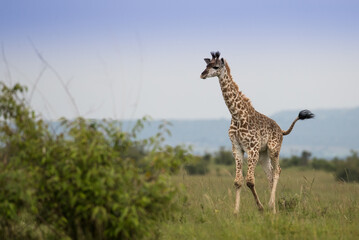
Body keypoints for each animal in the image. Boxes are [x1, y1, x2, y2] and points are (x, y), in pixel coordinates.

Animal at [201, 51, 314, 213]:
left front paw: (260, 207)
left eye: (215, 66)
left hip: (273, 150)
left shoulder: (252, 148)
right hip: (263, 155)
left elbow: (249, 181)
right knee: (270, 175)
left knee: (277, 171)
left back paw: (271, 206)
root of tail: (281, 130)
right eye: (206, 65)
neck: (237, 115)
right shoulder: (237, 148)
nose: (202, 74)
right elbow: (238, 181)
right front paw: (236, 212)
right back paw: (273, 210)